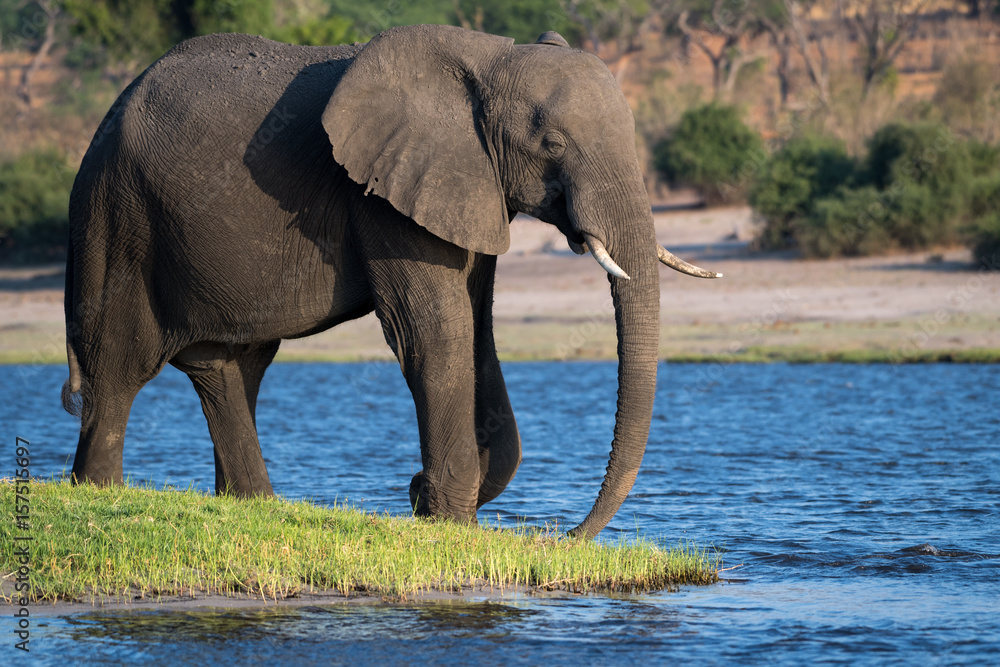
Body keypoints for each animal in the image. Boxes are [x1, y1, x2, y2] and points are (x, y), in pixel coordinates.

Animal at [62, 23, 716, 540]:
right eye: (552, 143)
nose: (563, 537)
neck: (490, 59)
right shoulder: (382, 196)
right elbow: (436, 335)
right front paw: (447, 522)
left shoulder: (466, 186)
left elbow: (478, 335)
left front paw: (430, 498)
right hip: (117, 216)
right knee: (118, 366)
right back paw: (98, 496)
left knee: (230, 366)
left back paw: (254, 507)